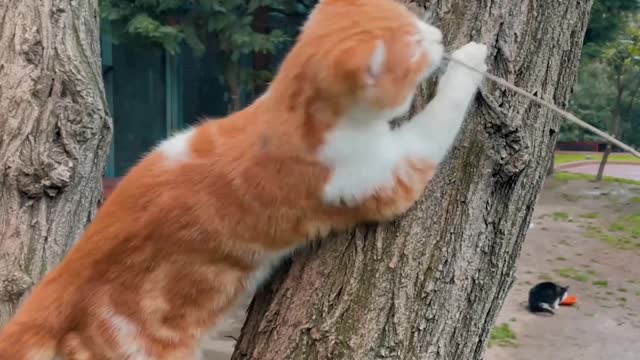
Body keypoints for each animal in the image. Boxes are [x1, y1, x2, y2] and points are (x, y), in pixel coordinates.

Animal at [0, 0, 484, 358]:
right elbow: (437, 123)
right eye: (417, 45)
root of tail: (61, 281)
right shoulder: (388, 173)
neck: (291, 108)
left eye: (415, 18)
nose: (438, 36)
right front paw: (472, 62)